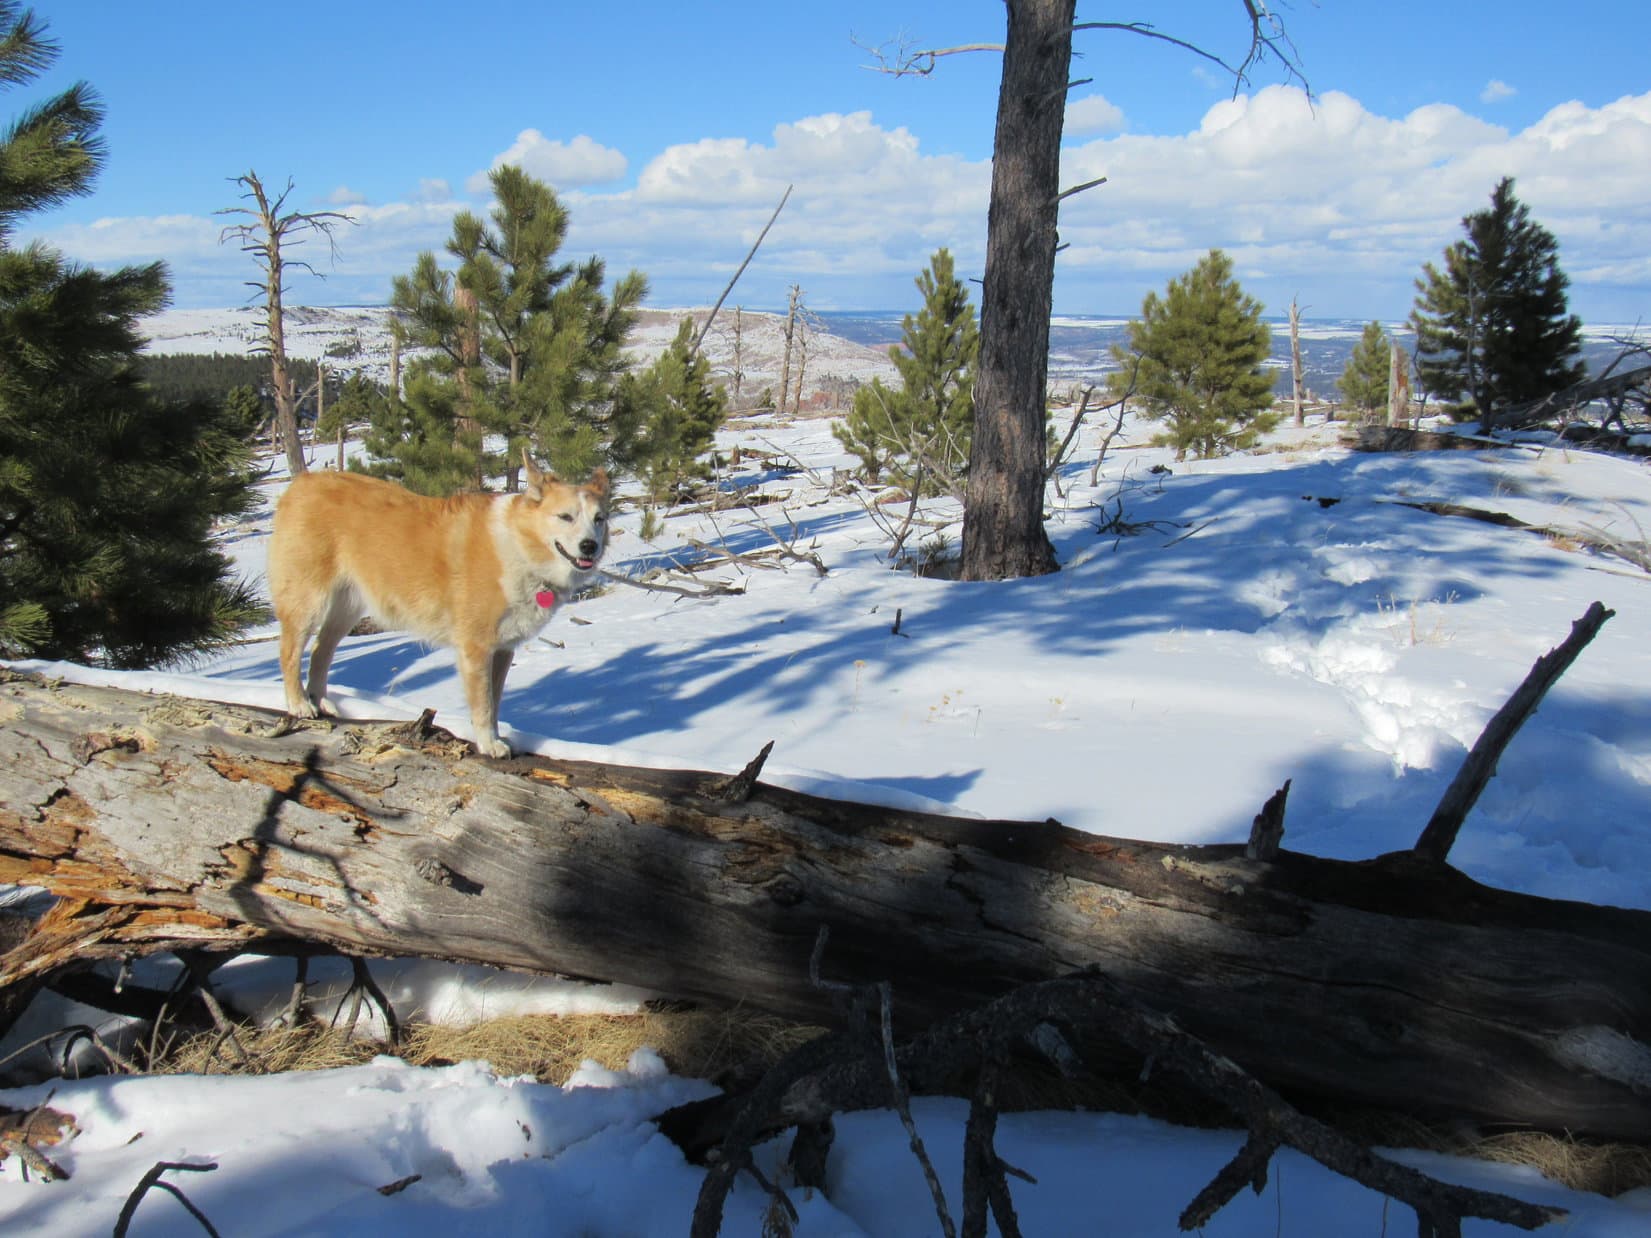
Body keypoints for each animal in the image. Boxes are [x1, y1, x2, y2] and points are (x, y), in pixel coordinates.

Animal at [269, 456, 609, 757]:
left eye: (599, 519)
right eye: (565, 517)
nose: (590, 546)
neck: (520, 548)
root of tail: (303, 483)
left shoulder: (501, 650)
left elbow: (495, 702)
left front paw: (495, 738)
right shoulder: (476, 649)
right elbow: (484, 705)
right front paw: (489, 745)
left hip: (346, 610)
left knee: (320, 651)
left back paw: (320, 700)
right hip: (309, 601)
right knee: (290, 651)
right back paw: (298, 703)